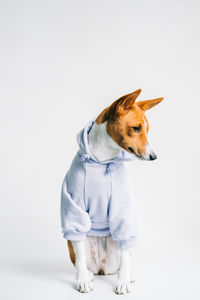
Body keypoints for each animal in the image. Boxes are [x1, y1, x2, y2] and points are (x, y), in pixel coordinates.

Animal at [61, 88, 164, 292]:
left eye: (147, 130)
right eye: (136, 128)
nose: (154, 156)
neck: (102, 159)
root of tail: (102, 267)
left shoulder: (122, 210)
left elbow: (125, 254)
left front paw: (123, 281)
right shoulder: (74, 205)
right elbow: (80, 255)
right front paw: (83, 279)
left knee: (126, 255)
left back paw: (128, 275)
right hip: (75, 242)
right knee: (80, 257)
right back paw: (87, 274)